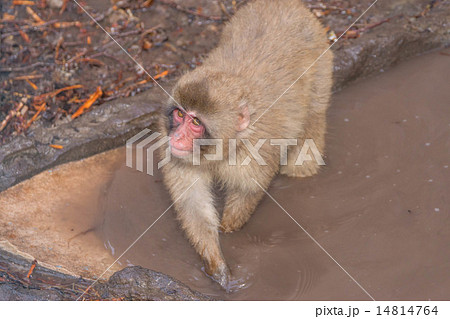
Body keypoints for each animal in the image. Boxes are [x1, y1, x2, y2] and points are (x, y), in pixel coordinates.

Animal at [156, 0, 332, 292]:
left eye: (196, 122)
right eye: (180, 114)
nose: (177, 138)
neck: (224, 146)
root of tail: (288, 5)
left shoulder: (257, 151)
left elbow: (248, 190)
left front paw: (228, 229)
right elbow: (193, 205)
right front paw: (216, 266)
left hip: (321, 69)